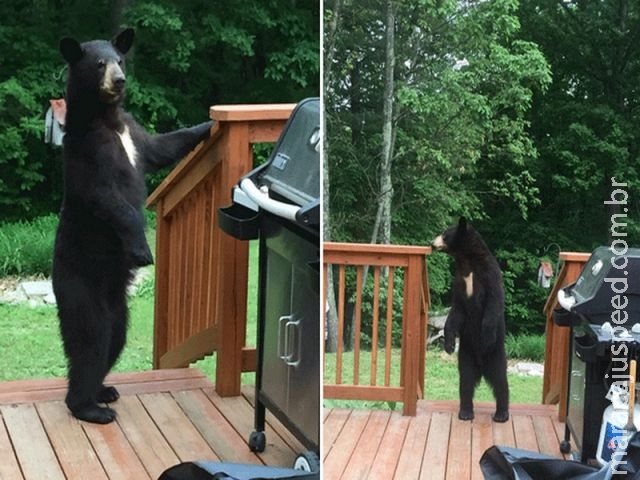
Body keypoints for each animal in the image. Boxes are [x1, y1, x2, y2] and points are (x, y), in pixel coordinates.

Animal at [53, 28, 212, 424]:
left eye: (120, 59)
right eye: (99, 63)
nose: (120, 80)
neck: (106, 120)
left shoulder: (135, 137)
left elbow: (163, 146)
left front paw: (208, 124)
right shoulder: (88, 153)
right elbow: (111, 201)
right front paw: (142, 250)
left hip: (118, 305)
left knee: (114, 339)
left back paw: (103, 390)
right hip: (80, 286)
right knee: (90, 341)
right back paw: (89, 406)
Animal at [430, 219, 510, 422]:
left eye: (444, 234)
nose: (432, 243)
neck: (467, 263)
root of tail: (481, 367)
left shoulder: (490, 274)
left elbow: (493, 303)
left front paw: (486, 336)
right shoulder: (459, 281)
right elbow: (456, 310)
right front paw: (449, 344)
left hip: (496, 355)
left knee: (500, 381)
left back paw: (501, 414)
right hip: (466, 355)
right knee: (465, 382)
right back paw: (465, 412)